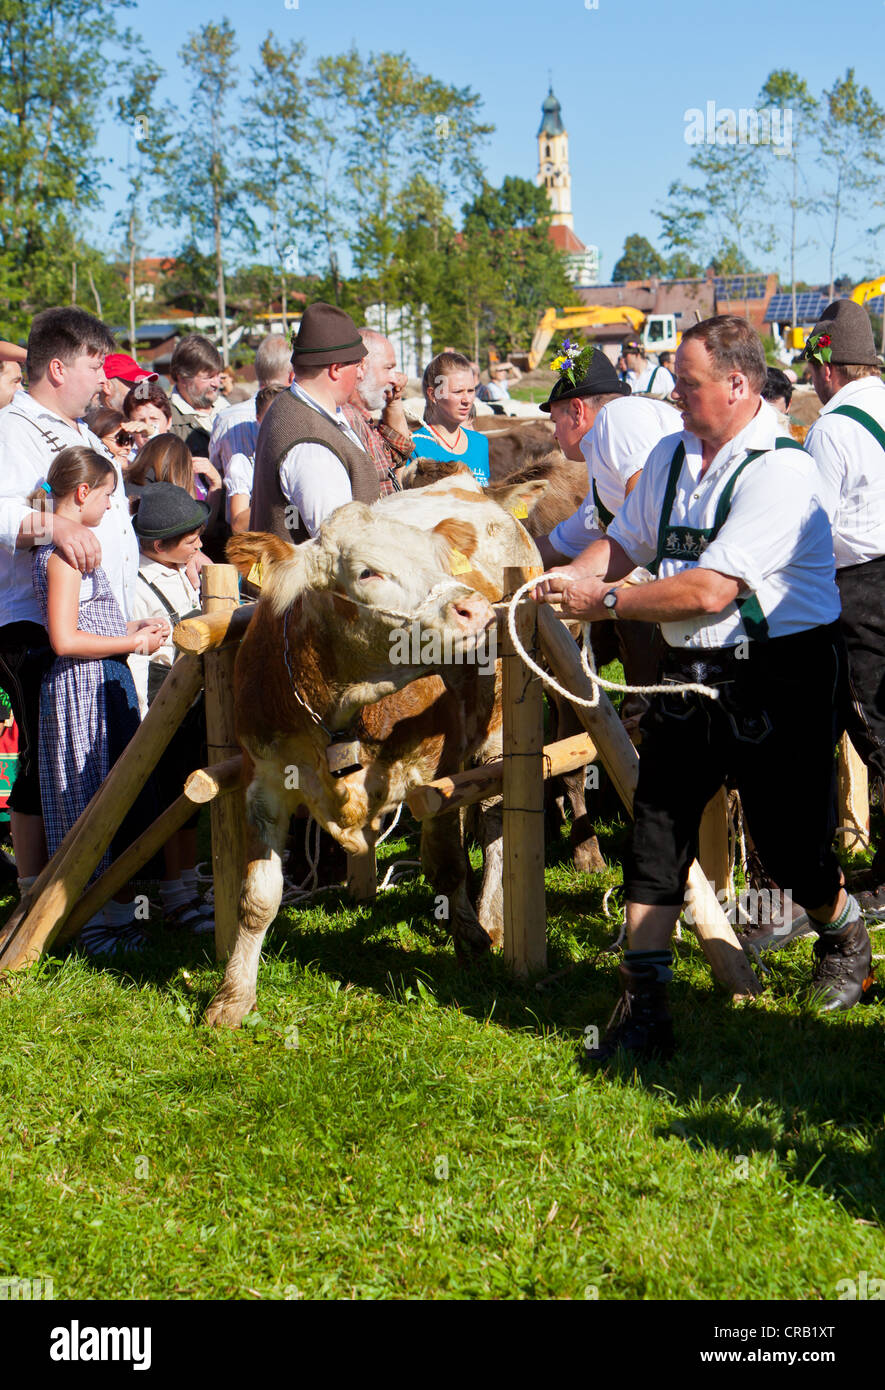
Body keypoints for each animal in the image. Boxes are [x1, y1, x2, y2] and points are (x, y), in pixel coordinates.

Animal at [205, 494, 539, 1028]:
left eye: (438, 560)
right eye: (368, 572)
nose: (476, 608)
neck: (335, 707)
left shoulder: (434, 773)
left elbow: (446, 865)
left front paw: (470, 941)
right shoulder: (264, 784)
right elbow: (256, 898)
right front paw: (233, 996)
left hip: (500, 732)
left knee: (494, 823)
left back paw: (490, 915)